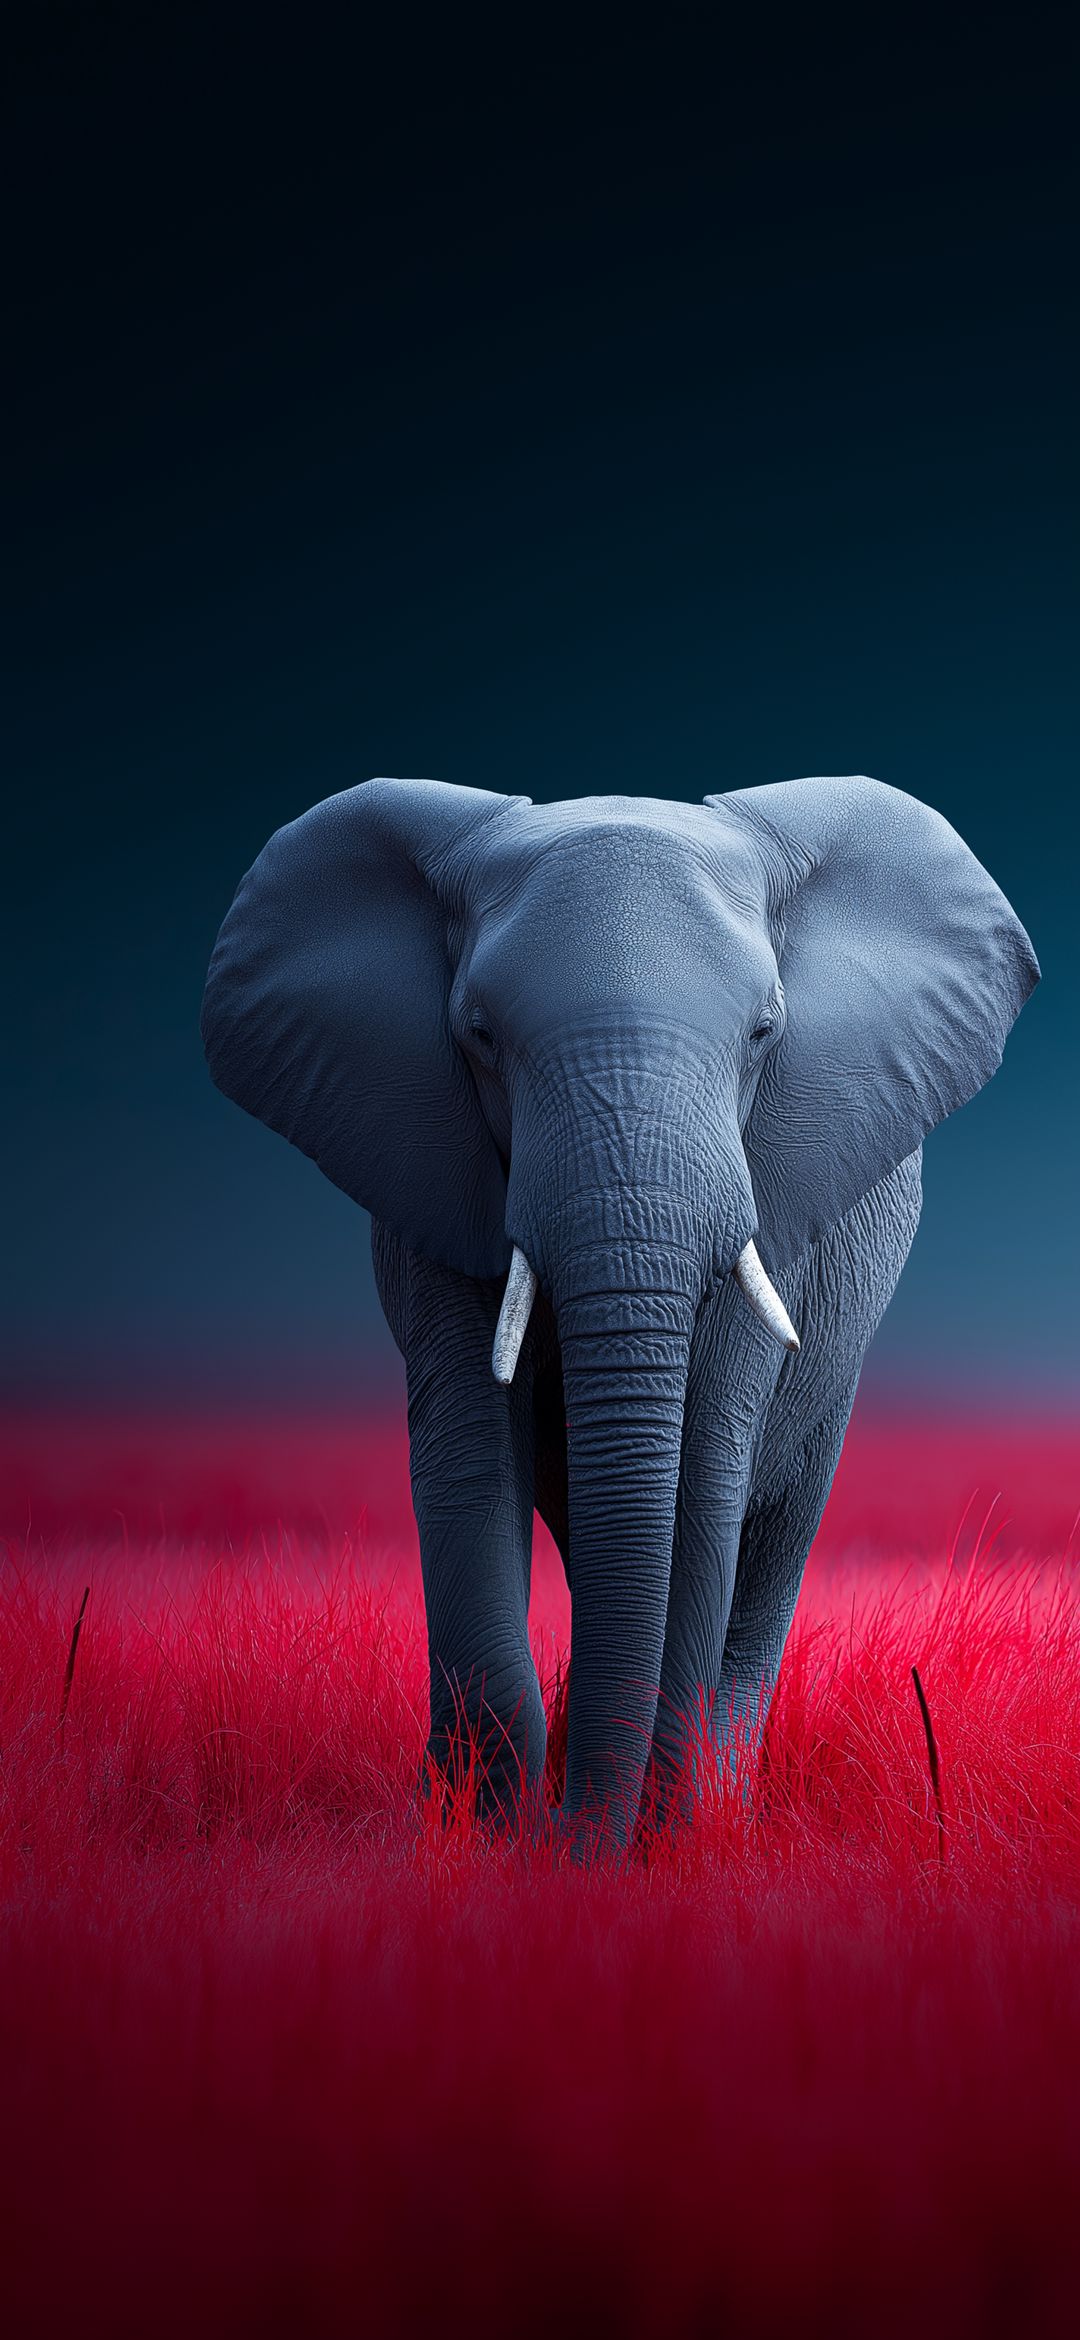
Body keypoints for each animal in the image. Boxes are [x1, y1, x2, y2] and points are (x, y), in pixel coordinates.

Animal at [201, 776, 1039, 1854]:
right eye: (479, 1034)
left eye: (764, 1033)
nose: (573, 1835)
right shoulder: (430, 1178)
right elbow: (470, 1457)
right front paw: (484, 1838)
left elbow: (702, 1479)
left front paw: (652, 1849)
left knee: (772, 1548)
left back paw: (715, 1807)